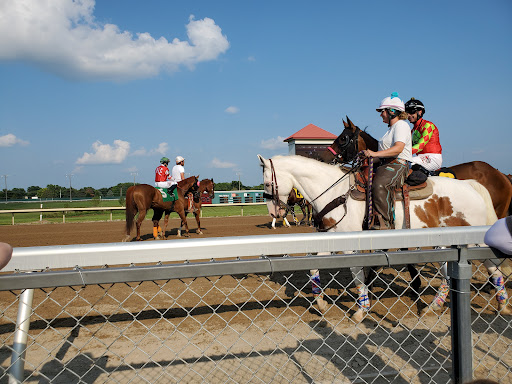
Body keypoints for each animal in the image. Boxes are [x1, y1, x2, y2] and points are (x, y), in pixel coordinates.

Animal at [258, 154, 506, 322]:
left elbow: (358, 275)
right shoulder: (330, 239)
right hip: (453, 243)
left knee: (481, 268)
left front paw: (361, 310)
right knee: (470, 271)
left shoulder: (350, 246)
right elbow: (313, 268)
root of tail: (471, 185)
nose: (274, 213)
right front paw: (320, 303)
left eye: (268, 183)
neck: (335, 193)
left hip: (466, 241)